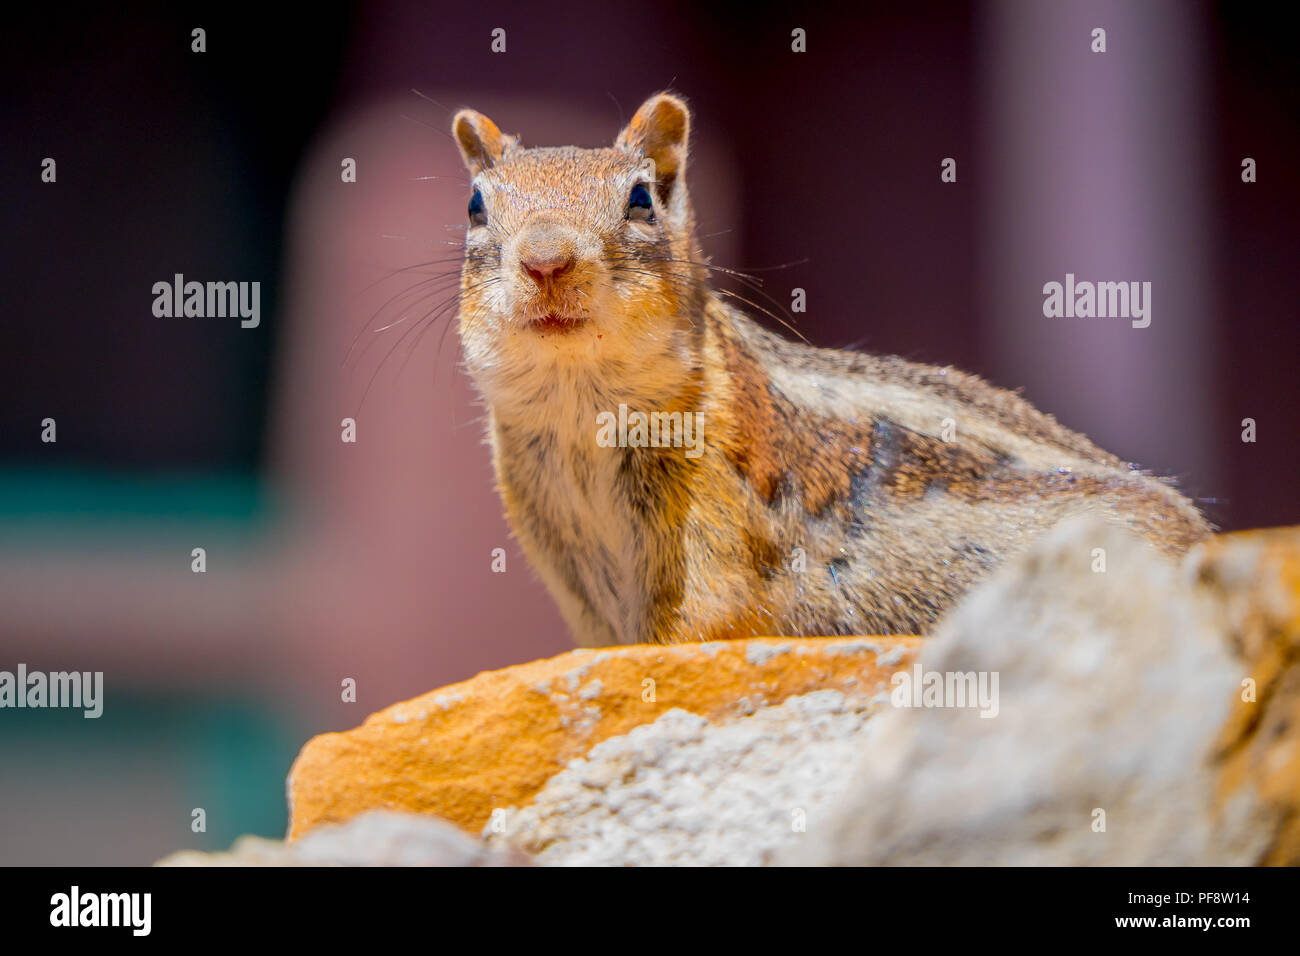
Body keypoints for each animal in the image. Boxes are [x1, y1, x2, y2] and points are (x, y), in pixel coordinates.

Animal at [452, 93, 1211, 647]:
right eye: (475, 205)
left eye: (640, 200)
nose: (546, 260)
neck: (579, 407)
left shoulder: (711, 544)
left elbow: (700, 623)